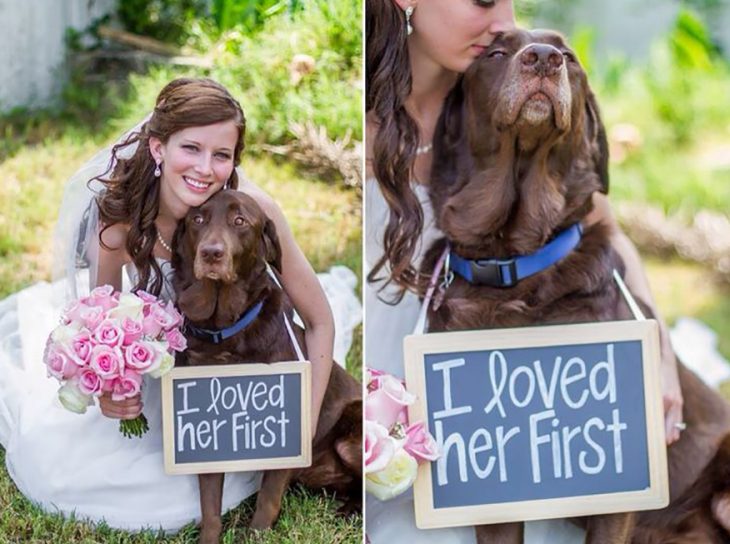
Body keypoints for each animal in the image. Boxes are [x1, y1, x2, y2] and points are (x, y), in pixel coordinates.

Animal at [171, 189, 364, 540]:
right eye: (197, 219)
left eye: (240, 221)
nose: (211, 253)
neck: (226, 333)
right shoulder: (207, 432)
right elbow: (210, 505)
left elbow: (268, 500)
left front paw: (256, 534)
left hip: (348, 436)